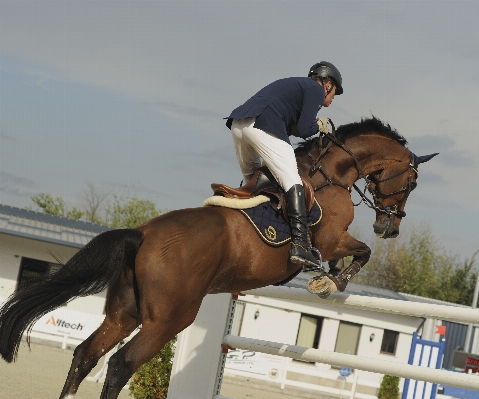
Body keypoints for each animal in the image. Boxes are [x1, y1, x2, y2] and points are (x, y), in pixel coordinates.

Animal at [0, 117, 436, 398]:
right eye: (412, 182)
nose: (390, 228)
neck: (334, 174)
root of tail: (142, 234)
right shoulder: (332, 238)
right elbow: (360, 252)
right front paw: (329, 281)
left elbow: (354, 255)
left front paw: (328, 277)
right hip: (169, 319)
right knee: (121, 365)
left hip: (125, 312)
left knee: (85, 354)